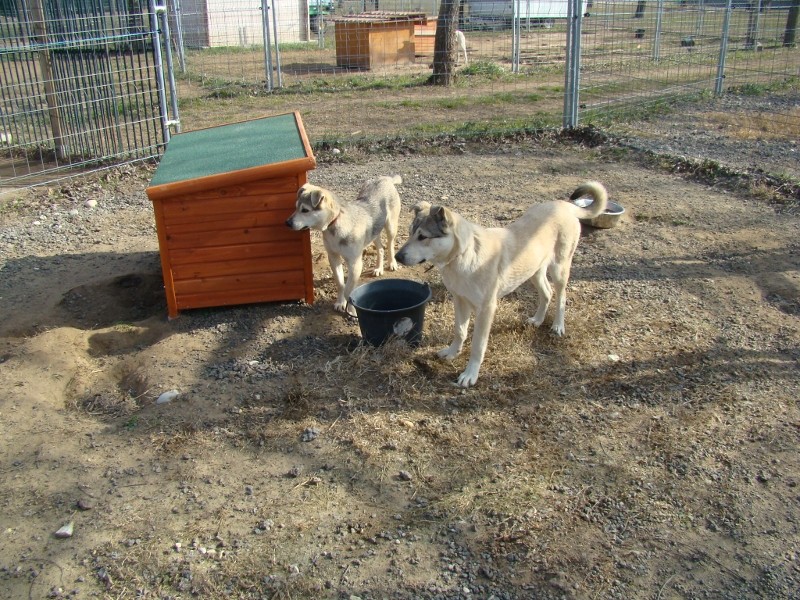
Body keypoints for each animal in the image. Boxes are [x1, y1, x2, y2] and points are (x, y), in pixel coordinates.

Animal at [286, 175, 404, 314]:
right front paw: (340, 303)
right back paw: (378, 269)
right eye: (295, 207)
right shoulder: (333, 257)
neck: (335, 223)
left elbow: (349, 290)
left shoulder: (355, 263)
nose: (287, 223)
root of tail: (385, 178)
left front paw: (352, 310)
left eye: (305, 210)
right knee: (380, 248)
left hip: (390, 226)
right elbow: (340, 283)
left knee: (390, 245)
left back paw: (392, 263)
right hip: (374, 232)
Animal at [396, 180, 608, 386]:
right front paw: (452, 352)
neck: (464, 254)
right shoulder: (460, 301)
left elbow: (478, 345)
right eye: (410, 233)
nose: (397, 257)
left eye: (423, 236)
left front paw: (470, 375)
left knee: (561, 296)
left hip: (559, 269)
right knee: (547, 293)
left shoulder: (486, 309)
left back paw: (558, 325)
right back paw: (538, 320)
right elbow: (459, 331)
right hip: (533, 271)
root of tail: (563, 204)